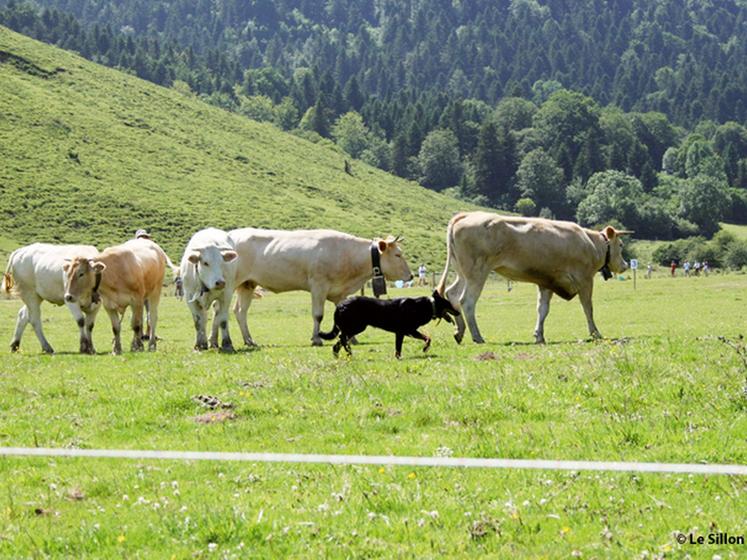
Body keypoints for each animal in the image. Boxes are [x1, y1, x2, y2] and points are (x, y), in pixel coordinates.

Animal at [228, 228, 414, 346]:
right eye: (398, 255)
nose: (411, 276)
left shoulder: (340, 292)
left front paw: (352, 338)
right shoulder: (318, 285)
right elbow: (318, 315)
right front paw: (316, 339)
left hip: (247, 285)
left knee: (240, 312)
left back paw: (249, 340)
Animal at [322, 288, 462, 358]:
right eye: (449, 304)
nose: (459, 311)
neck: (427, 305)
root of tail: (339, 305)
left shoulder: (406, 332)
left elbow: (423, 339)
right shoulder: (406, 331)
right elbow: (426, 338)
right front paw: (424, 349)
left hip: (354, 328)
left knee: (340, 341)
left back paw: (339, 354)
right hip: (357, 327)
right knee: (342, 337)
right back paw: (349, 353)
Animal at [438, 213, 632, 346]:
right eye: (621, 245)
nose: (625, 265)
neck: (590, 243)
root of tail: (466, 215)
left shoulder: (547, 282)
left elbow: (542, 310)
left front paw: (539, 335)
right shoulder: (585, 280)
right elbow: (588, 308)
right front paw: (595, 333)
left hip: (463, 273)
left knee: (452, 293)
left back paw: (459, 331)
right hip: (477, 273)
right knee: (467, 301)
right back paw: (477, 336)